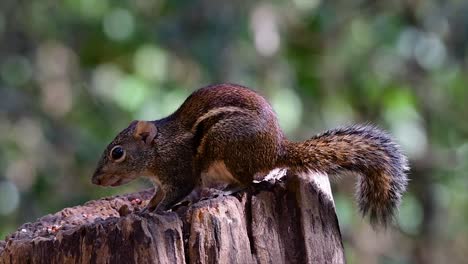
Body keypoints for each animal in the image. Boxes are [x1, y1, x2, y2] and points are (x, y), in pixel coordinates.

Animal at [91, 83, 406, 226]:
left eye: (117, 152)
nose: (95, 180)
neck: (159, 149)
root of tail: (277, 149)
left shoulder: (179, 173)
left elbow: (175, 194)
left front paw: (156, 212)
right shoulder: (160, 183)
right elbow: (157, 196)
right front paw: (143, 210)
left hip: (230, 147)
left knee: (250, 184)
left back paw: (227, 191)